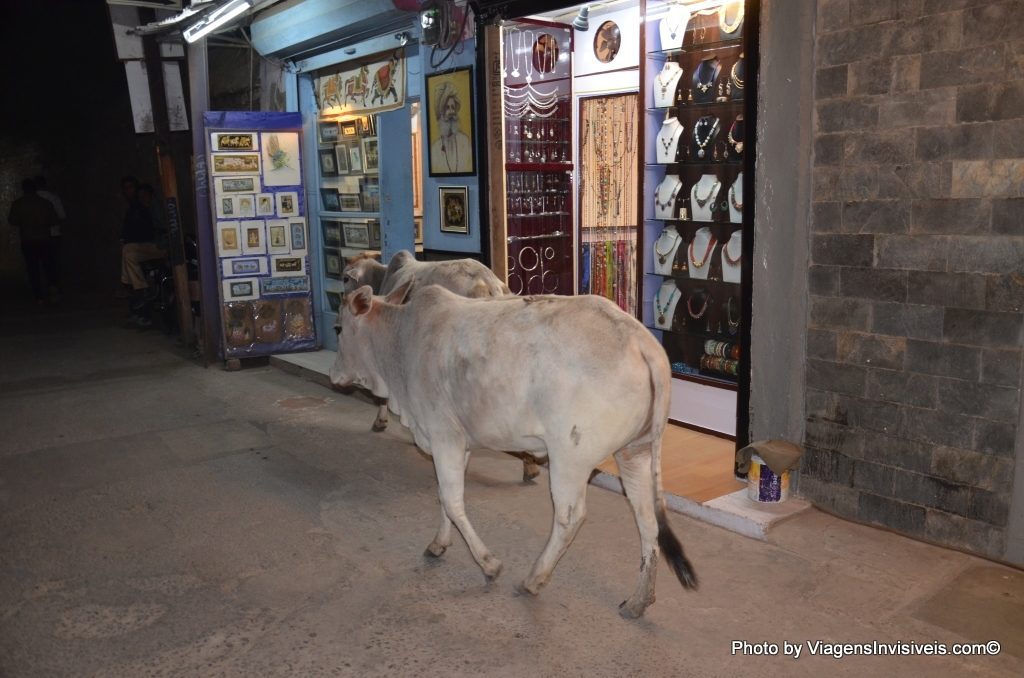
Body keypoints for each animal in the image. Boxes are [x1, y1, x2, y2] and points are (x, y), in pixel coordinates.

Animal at [331, 284, 700, 618]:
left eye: (340, 329)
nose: (335, 374)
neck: (400, 343)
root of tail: (640, 340)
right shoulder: (458, 443)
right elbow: (444, 499)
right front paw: (439, 544)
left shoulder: (443, 436)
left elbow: (452, 500)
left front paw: (489, 565)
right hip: (635, 452)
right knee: (647, 521)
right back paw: (638, 601)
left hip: (569, 458)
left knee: (570, 517)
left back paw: (534, 579)